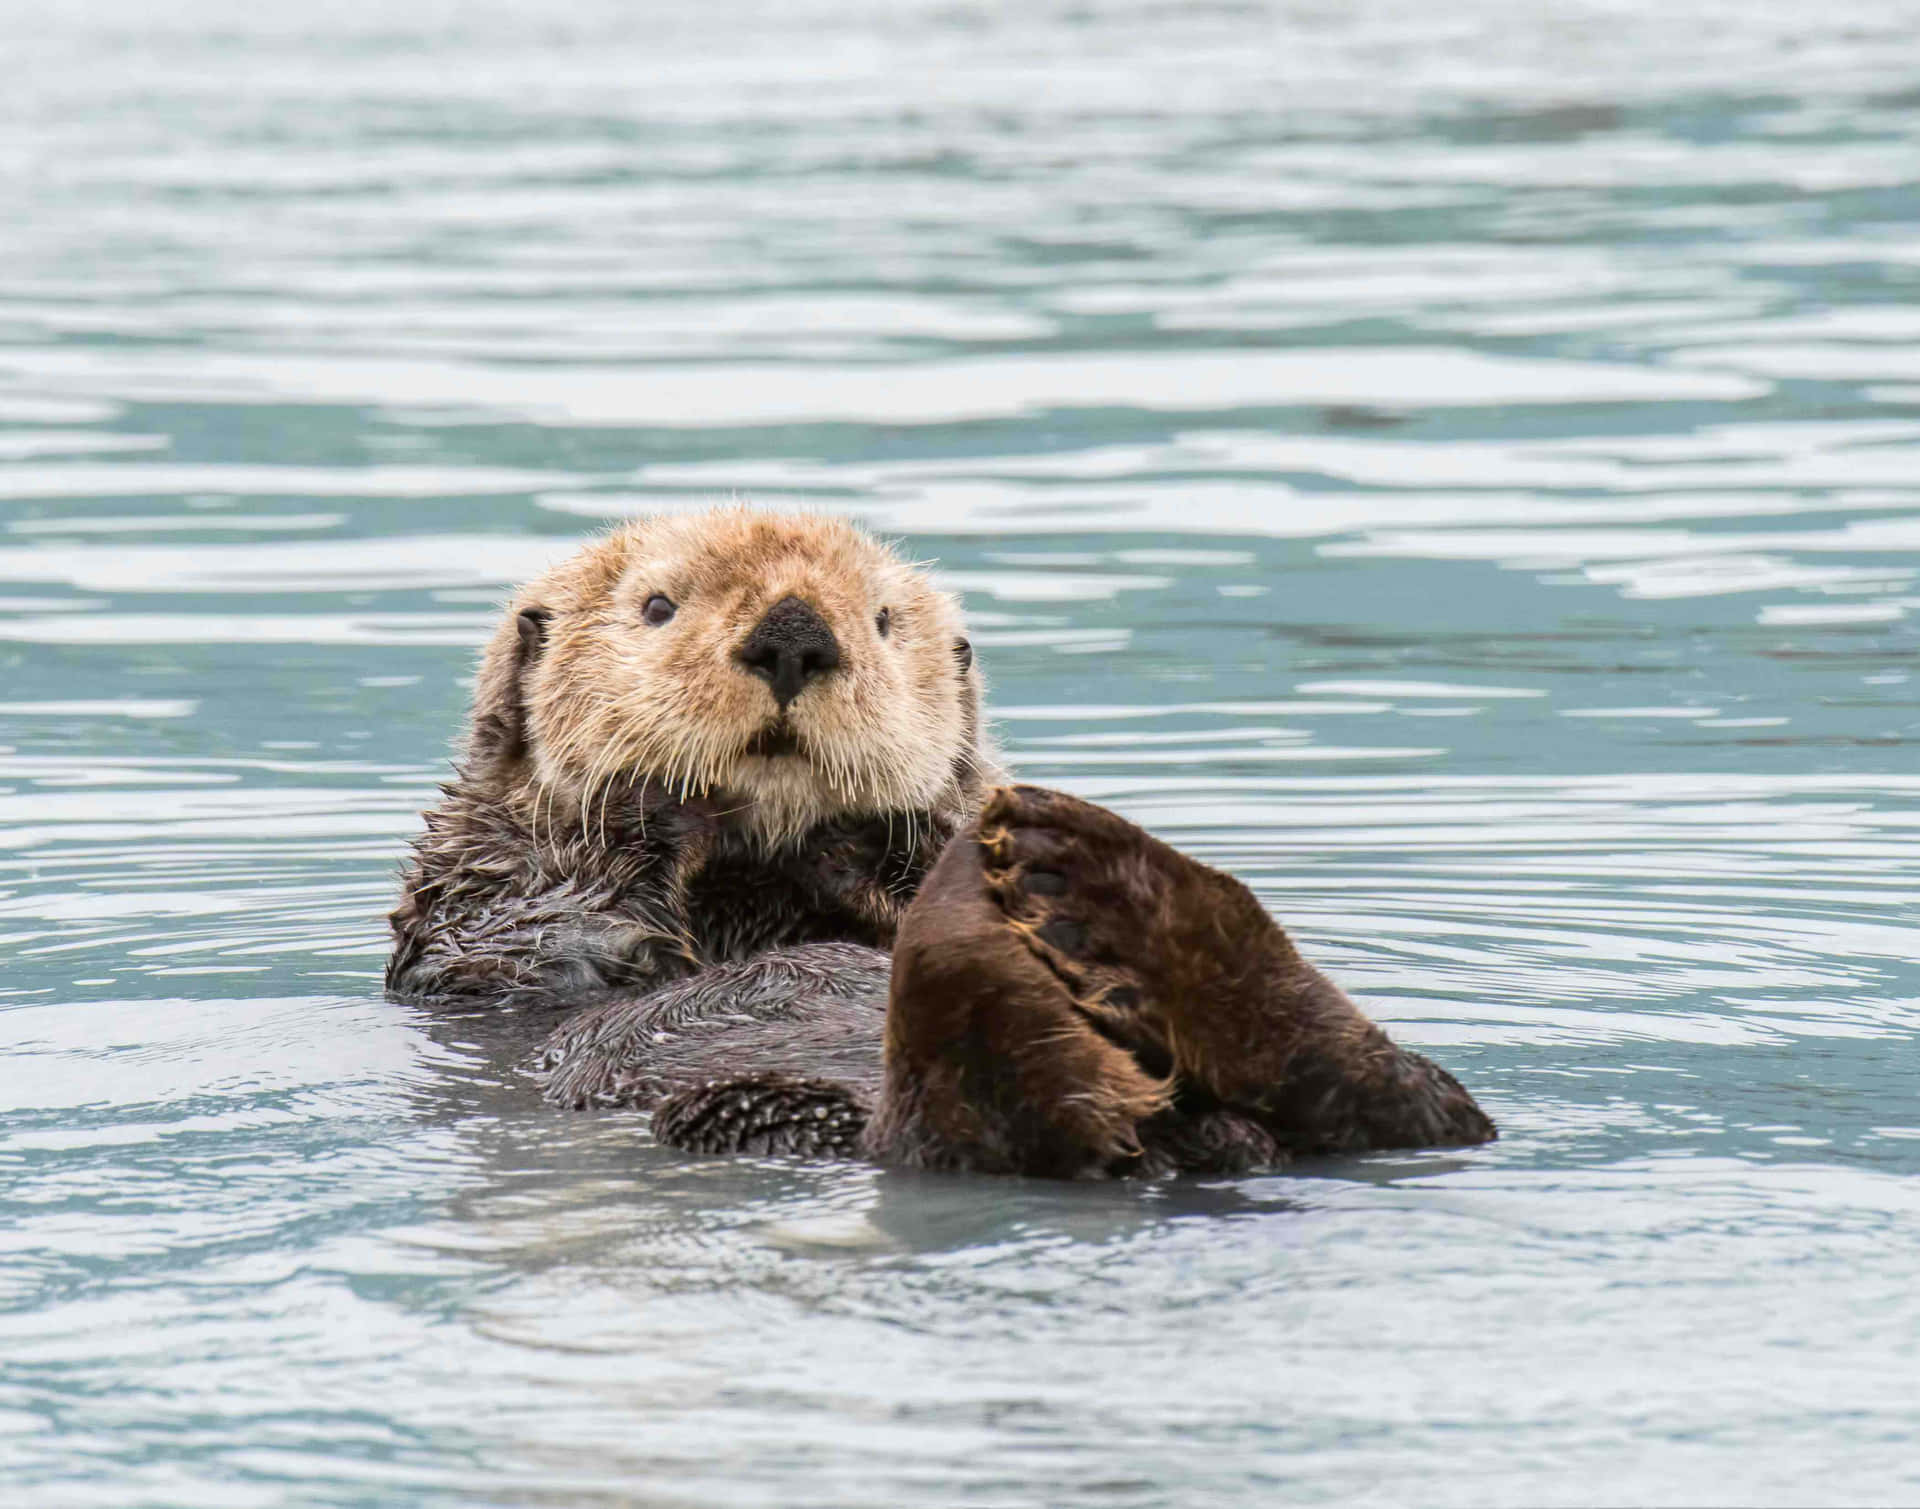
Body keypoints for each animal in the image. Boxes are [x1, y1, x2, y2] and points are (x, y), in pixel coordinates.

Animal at [393, 506, 1497, 1174]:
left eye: (882, 620)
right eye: (656, 606)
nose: (794, 633)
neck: (759, 882)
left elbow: (909, 848)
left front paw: (886, 844)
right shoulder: (478, 905)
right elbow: (549, 934)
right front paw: (656, 801)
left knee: (1419, 1106)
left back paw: (1105, 891)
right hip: (766, 1112)